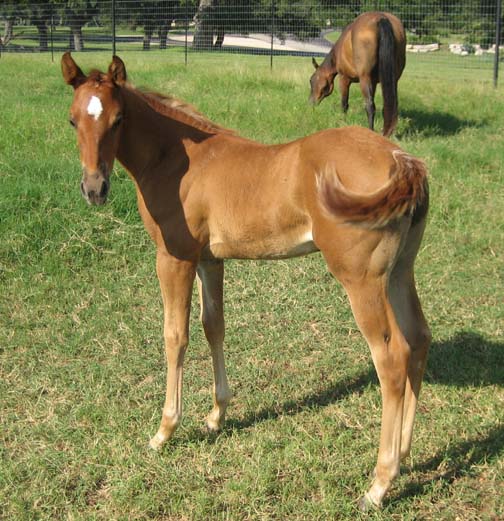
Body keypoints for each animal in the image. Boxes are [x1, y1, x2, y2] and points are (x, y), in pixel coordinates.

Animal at [62, 53, 430, 512]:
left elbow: (175, 336)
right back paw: (404, 452)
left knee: (392, 358)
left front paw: (164, 431)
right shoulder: (209, 259)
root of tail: (402, 160)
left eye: (118, 119)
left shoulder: (174, 258)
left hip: (362, 280)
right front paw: (216, 415)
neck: (177, 160)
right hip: (400, 271)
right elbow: (213, 327)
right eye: (73, 119)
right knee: (418, 339)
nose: (94, 188)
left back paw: (379, 484)